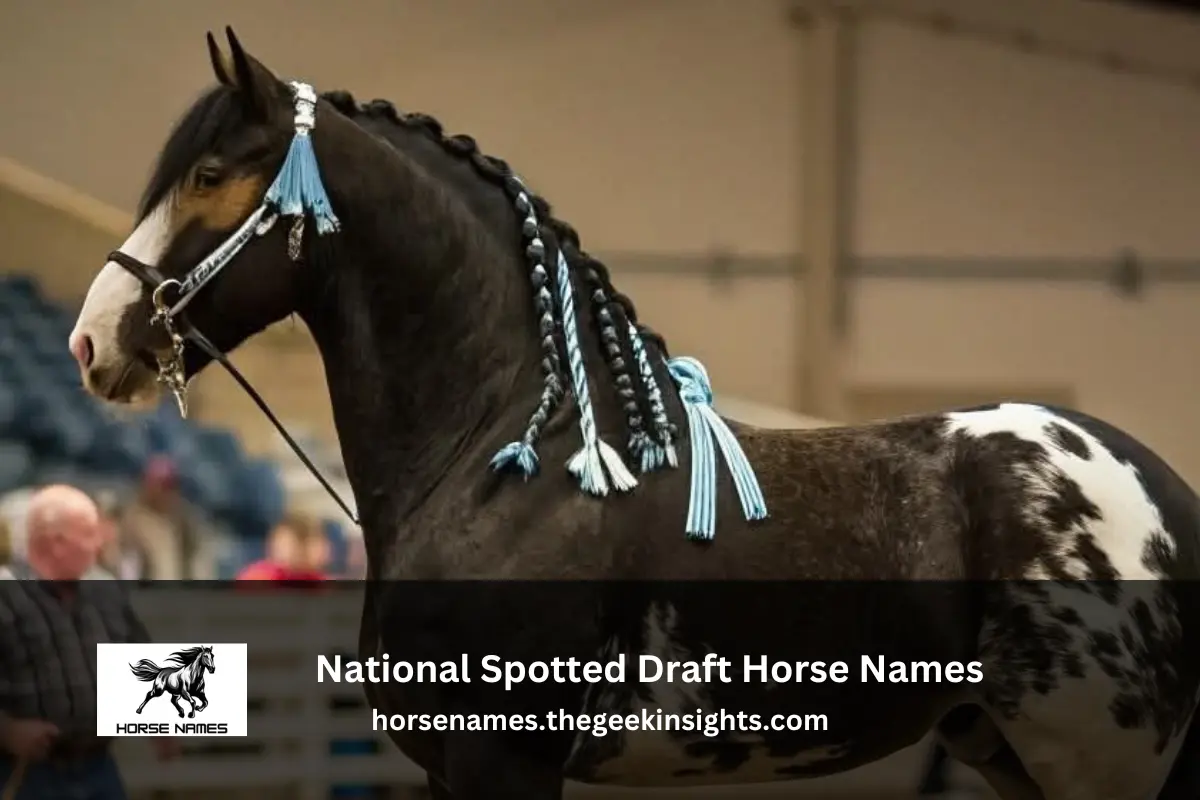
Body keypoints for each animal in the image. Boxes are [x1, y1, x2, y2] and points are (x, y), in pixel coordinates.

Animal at [66, 28, 1200, 800]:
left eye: (210, 175)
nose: (91, 340)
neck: (505, 452)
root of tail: (1159, 488)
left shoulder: (503, 759)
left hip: (1099, 759)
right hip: (1003, 747)